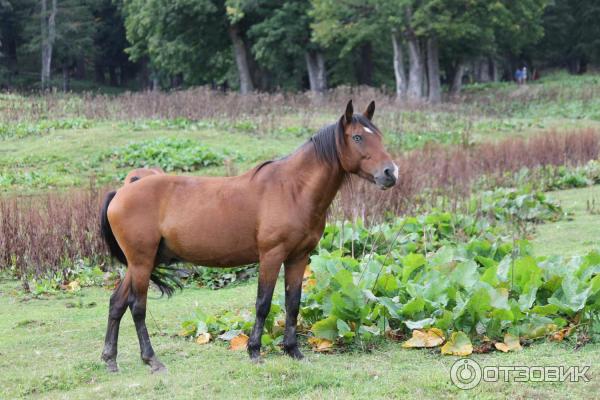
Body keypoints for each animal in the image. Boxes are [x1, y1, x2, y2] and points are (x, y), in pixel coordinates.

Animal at [99, 100, 398, 372]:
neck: (292, 189)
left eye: (379, 136)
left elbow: (292, 303)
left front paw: (293, 351)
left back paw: (110, 359)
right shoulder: (271, 256)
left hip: (139, 263)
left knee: (117, 303)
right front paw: (254, 351)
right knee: (137, 306)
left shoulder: (298, 257)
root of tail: (121, 192)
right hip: (142, 262)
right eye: (357, 137)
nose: (390, 173)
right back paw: (152, 360)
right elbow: (263, 303)